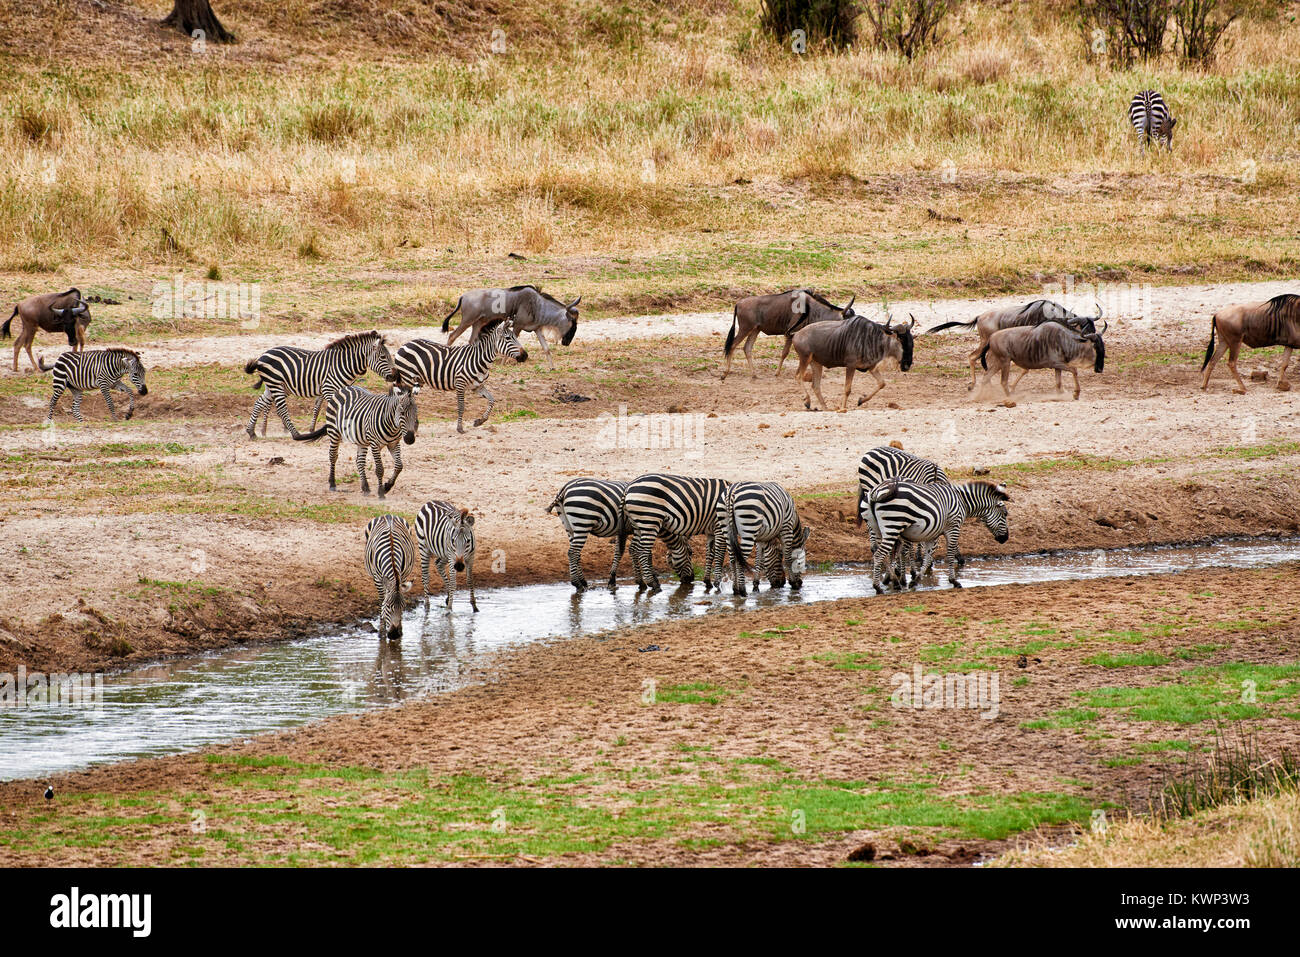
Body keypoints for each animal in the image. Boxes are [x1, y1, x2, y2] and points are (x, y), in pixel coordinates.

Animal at [244, 327, 392, 434]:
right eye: (383, 357)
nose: (393, 376)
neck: (343, 363)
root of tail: (263, 354)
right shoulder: (328, 388)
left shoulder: (329, 388)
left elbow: (318, 407)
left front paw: (313, 428)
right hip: (276, 384)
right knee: (281, 409)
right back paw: (295, 433)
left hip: (275, 385)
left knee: (260, 402)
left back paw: (252, 432)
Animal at [364, 514, 413, 642]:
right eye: (388, 606)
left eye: (403, 607)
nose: (395, 635)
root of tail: (388, 515)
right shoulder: (377, 578)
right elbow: (382, 600)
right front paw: (382, 631)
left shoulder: (402, 576)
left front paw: (400, 629)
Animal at [868, 475, 1008, 590]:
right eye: (1005, 514)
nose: (1005, 539)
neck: (962, 502)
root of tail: (876, 493)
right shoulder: (953, 527)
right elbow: (950, 554)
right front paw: (954, 580)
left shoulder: (933, 532)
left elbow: (928, 555)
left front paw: (916, 580)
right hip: (893, 526)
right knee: (879, 554)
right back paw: (878, 587)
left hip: (880, 529)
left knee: (882, 553)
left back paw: (891, 581)